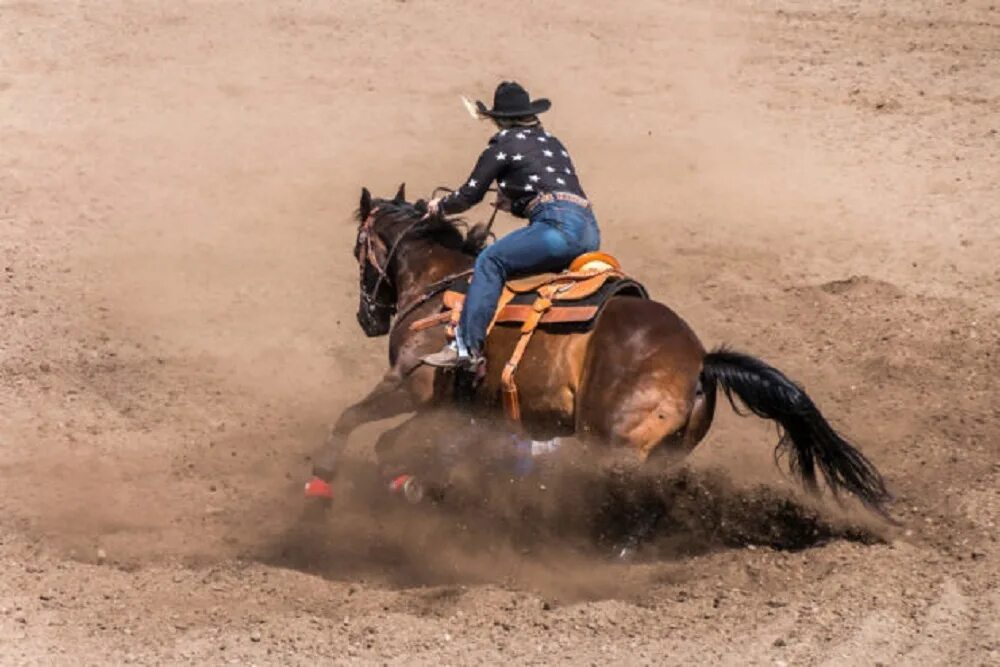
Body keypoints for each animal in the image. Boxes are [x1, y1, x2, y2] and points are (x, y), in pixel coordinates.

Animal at [308, 183, 896, 544]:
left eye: (358, 248)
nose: (367, 316)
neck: (441, 286)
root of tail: (701, 362)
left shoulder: (409, 387)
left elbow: (355, 423)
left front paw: (324, 484)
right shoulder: (459, 411)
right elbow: (400, 445)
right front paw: (413, 485)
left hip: (610, 448)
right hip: (659, 455)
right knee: (648, 508)